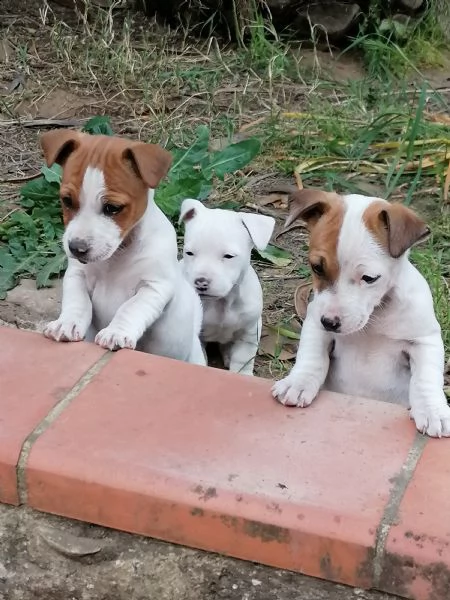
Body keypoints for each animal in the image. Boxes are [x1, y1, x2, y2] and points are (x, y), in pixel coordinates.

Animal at [39, 130, 205, 366]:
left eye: (112, 208)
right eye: (67, 201)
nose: (76, 248)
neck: (116, 256)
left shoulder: (154, 287)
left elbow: (130, 308)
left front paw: (115, 332)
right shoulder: (77, 276)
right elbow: (77, 302)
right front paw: (67, 323)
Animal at [179, 198, 274, 376]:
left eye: (228, 256)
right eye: (189, 253)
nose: (200, 282)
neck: (222, 303)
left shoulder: (249, 332)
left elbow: (242, 359)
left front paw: (243, 375)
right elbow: (198, 359)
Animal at [270, 190, 450, 438]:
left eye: (369, 278)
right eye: (317, 268)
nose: (330, 322)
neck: (375, 317)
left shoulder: (424, 340)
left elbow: (426, 378)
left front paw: (433, 411)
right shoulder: (316, 325)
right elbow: (312, 357)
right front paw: (298, 382)